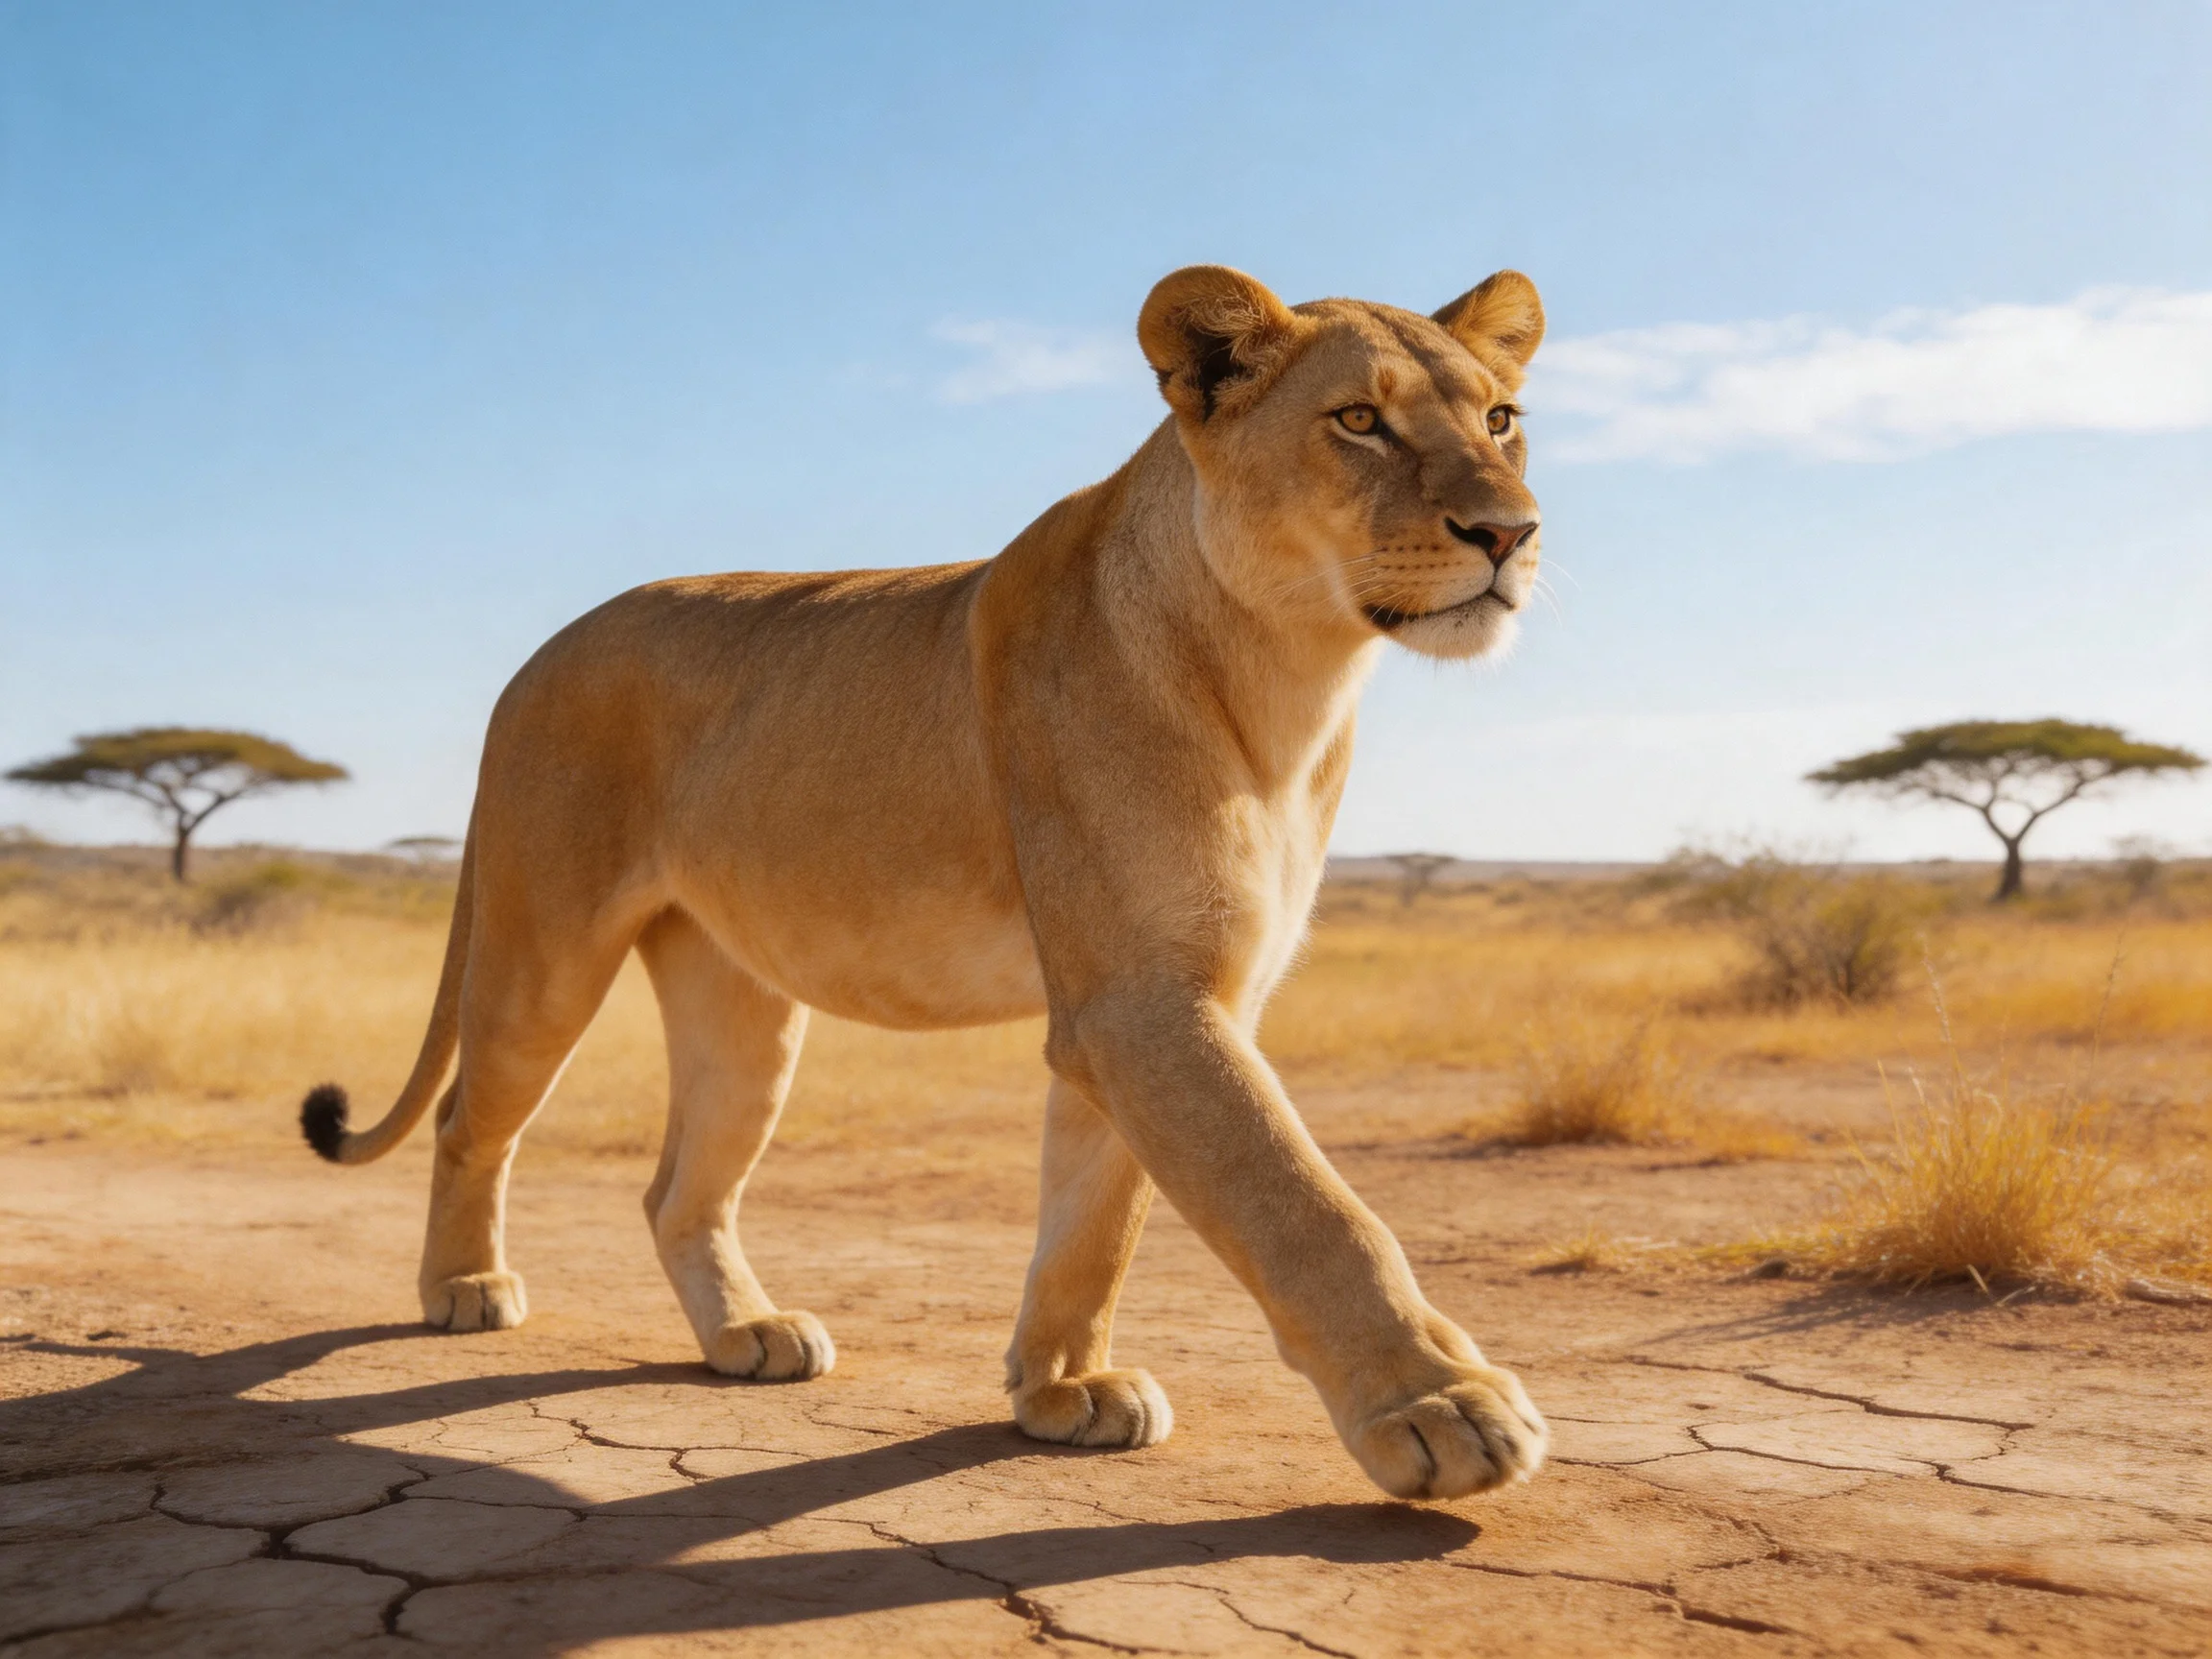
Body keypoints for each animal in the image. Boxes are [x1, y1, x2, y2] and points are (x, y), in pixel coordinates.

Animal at [300, 263, 1551, 1500]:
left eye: (1501, 419)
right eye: (1359, 422)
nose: (1512, 531)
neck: (1291, 674)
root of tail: (534, 659)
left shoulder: (1163, 1000)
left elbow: (1097, 1218)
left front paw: (1062, 1390)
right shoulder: (1142, 1000)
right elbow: (1301, 1202)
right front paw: (1442, 1406)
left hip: (740, 1007)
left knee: (678, 1189)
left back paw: (747, 1333)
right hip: (543, 954)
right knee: (469, 1118)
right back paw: (464, 1290)